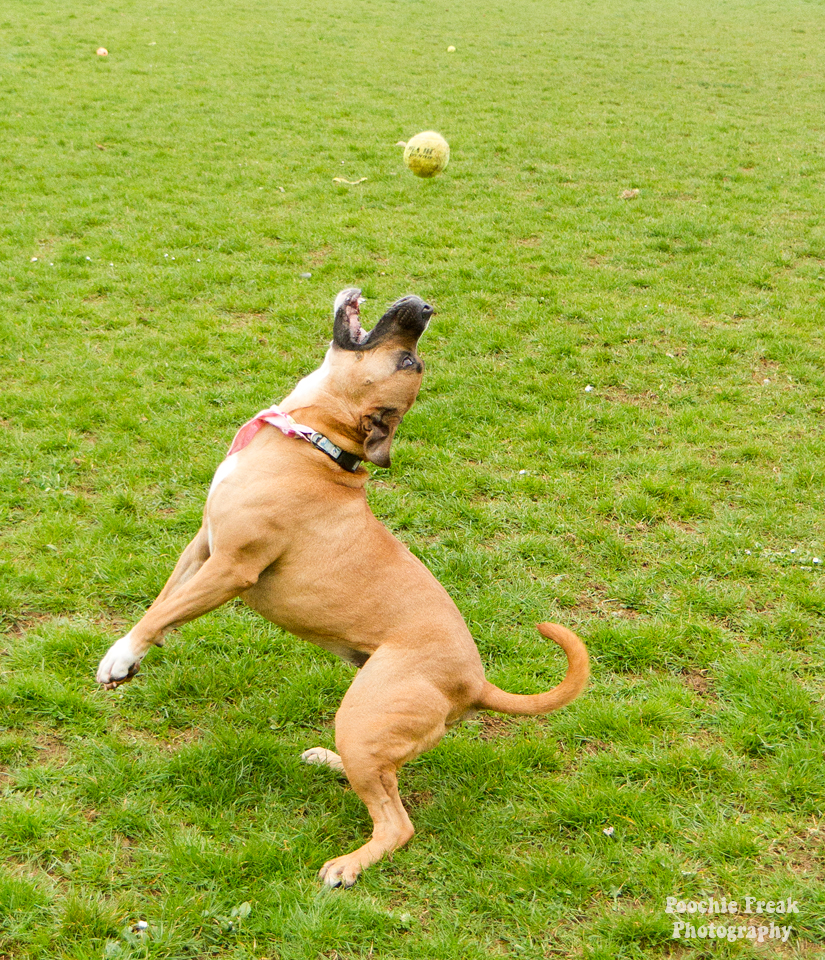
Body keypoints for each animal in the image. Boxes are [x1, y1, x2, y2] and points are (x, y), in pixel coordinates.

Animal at [95, 288, 584, 888]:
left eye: (408, 361)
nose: (425, 305)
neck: (317, 440)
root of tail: (475, 683)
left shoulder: (231, 567)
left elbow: (161, 613)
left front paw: (122, 656)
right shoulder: (203, 546)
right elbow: (164, 602)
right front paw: (136, 655)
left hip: (364, 716)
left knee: (396, 823)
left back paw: (348, 865)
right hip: (366, 726)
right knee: (383, 774)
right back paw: (329, 763)